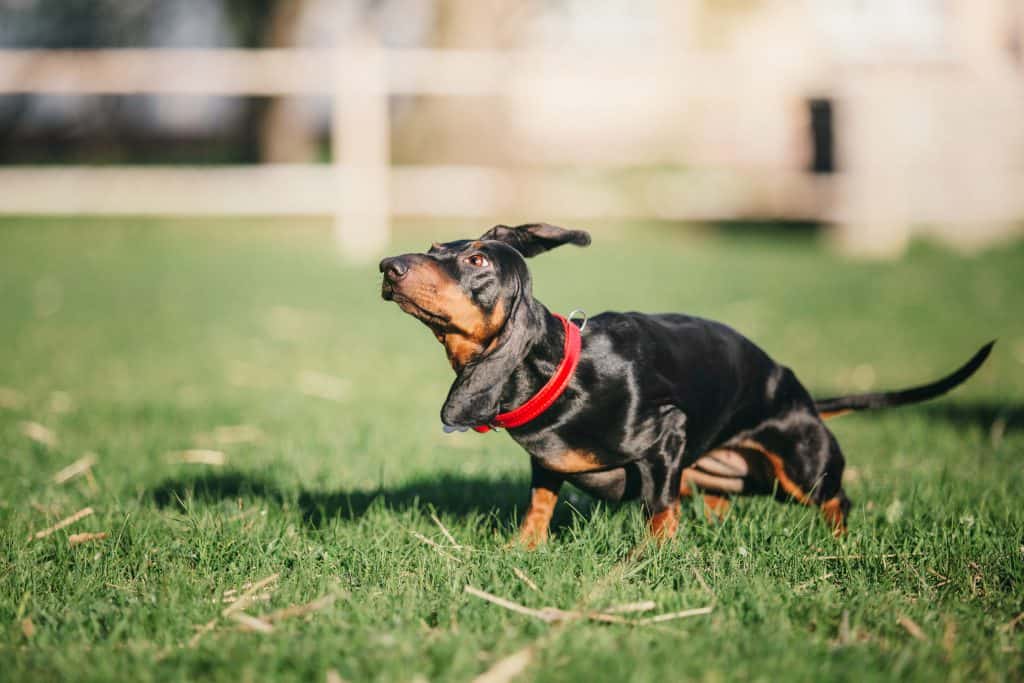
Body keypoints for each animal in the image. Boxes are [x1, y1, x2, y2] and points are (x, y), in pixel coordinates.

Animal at [378, 227, 991, 548]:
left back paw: (839, 545)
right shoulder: (546, 462)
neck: (563, 372)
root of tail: (806, 400)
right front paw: (521, 551)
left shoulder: (666, 439)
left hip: (802, 467)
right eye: (433, 249)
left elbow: (658, 511)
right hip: (717, 477)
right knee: (719, 504)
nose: (387, 266)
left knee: (838, 499)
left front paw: (651, 560)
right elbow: (538, 506)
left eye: (477, 258)